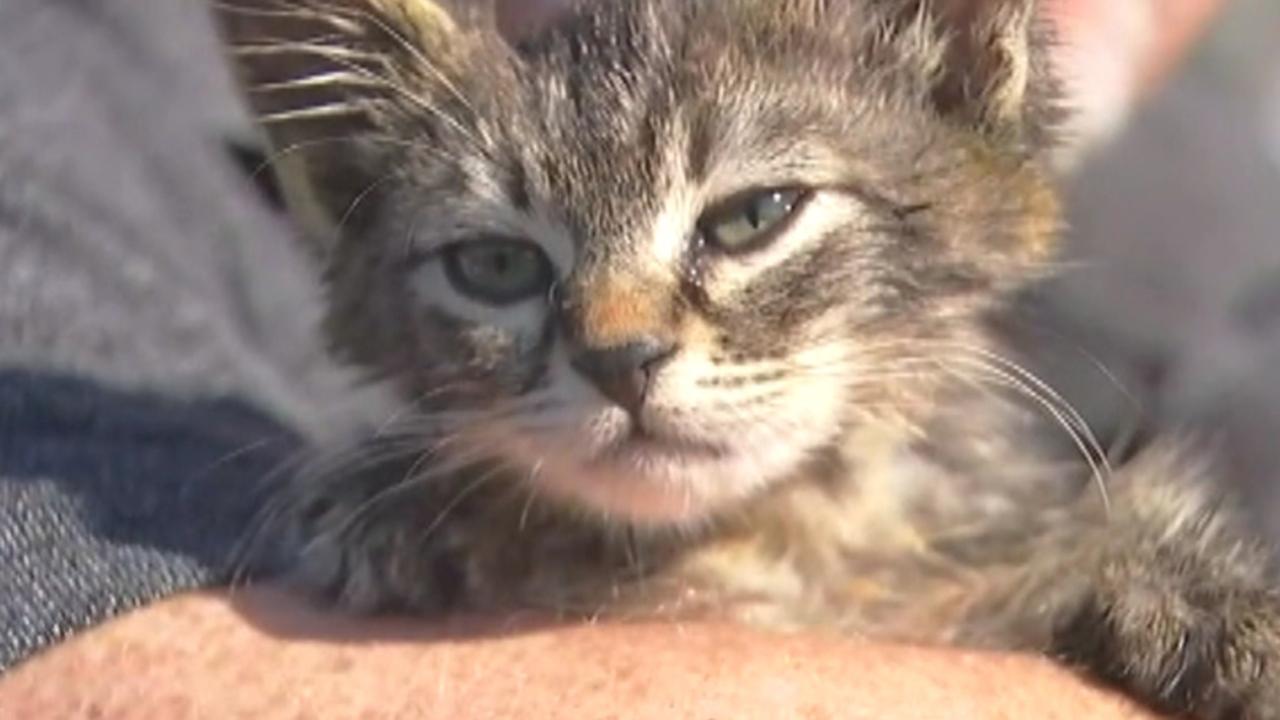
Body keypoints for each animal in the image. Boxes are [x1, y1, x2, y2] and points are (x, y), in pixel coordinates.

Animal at [212, 2, 1280, 712]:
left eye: (754, 217)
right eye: (496, 266)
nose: (621, 360)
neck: (772, 541)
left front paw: (1220, 612)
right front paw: (417, 501)